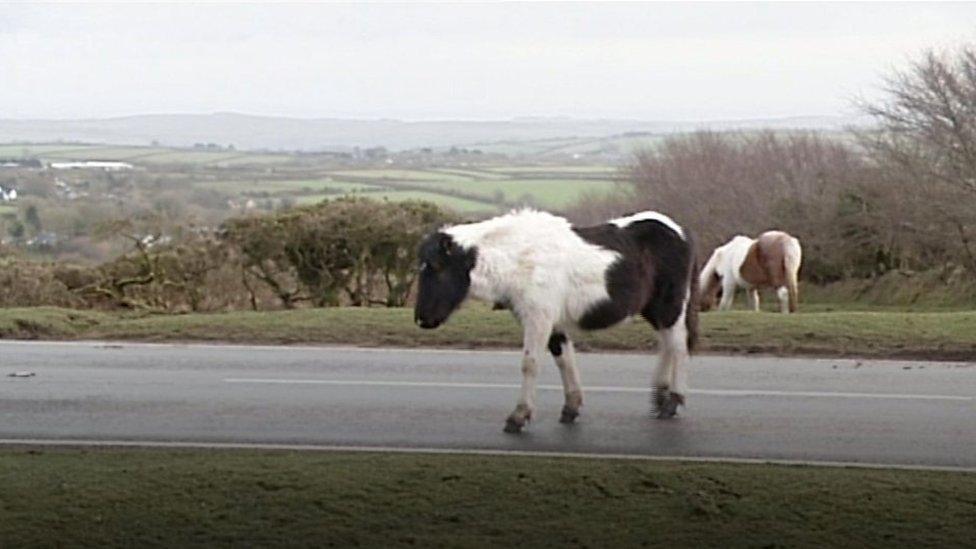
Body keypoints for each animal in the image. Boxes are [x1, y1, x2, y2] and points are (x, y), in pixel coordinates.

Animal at [416, 209, 696, 432]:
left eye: (437, 267)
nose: (422, 320)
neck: (522, 258)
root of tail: (680, 231)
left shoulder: (538, 319)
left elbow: (530, 364)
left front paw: (519, 417)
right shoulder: (554, 325)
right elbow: (565, 361)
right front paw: (571, 407)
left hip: (669, 305)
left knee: (678, 346)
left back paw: (672, 401)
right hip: (654, 309)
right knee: (667, 344)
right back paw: (660, 396)